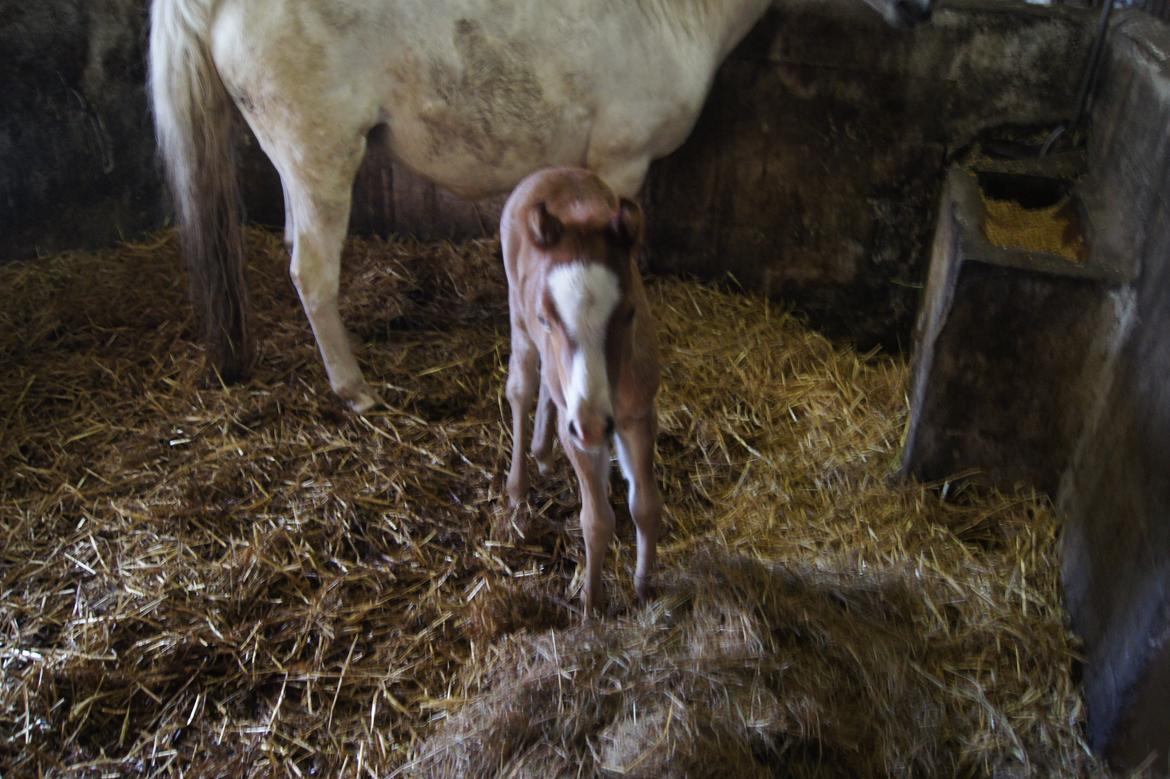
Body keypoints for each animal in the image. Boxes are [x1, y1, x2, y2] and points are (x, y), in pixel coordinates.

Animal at [501, 167, 662, 613]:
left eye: (630, 313)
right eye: (545, 316)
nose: (591, 427)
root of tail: (549, 171)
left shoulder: (640, 414)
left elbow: (645, 506)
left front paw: (644, 587)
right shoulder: (579, 434)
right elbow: (596, 520)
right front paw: (592, 602)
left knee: (549, 388)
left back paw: (542, 453)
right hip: (518, 321)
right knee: (522, 387)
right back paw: (518, 486)